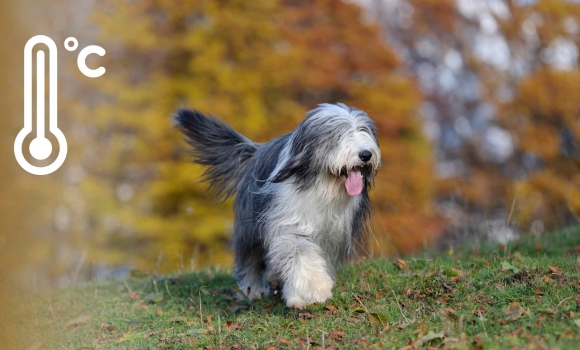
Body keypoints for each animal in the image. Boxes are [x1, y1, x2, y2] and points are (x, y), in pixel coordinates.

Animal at [176, 102, 386, 308]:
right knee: (249, 257)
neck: (323, 188)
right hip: (250, 225)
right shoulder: (289, 221)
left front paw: (299, 296)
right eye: (338, 135)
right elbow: (299, 252)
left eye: (364, 130)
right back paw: (252, 290)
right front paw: (315, 288)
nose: (366, 154)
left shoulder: (333, 235)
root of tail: (256, 150)